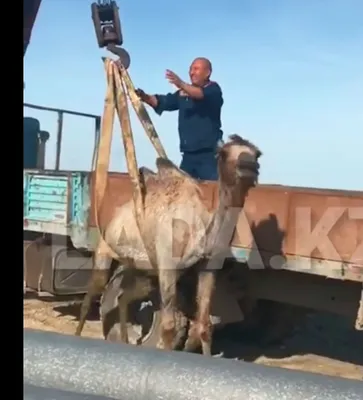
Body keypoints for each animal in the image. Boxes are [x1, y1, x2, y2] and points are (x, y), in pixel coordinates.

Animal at [75, 135, 264, 356]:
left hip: (141, 269)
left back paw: (125, 340)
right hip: (105, 249)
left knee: (124, 297)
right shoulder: (168, 265)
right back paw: (78, 334)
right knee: (92, 293)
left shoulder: (207, 266)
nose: (249, 165)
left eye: (257, 154)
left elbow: (204, 325)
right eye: (222, 153)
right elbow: (168, 327)